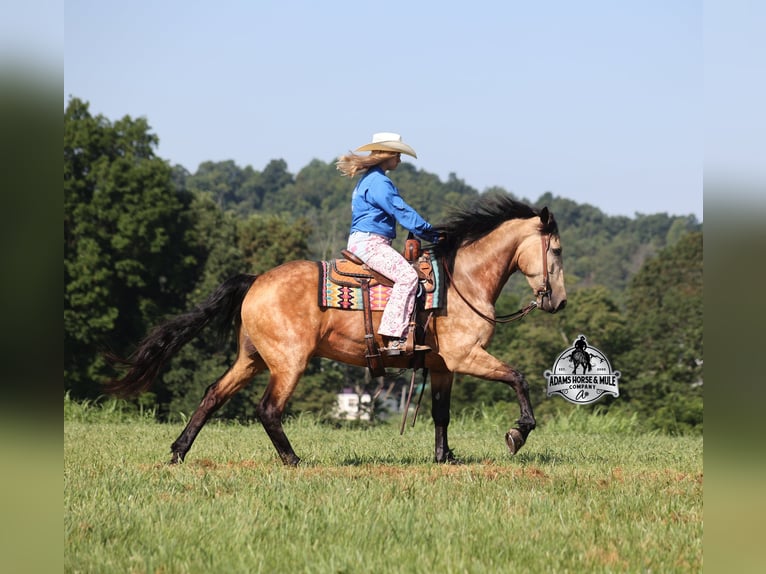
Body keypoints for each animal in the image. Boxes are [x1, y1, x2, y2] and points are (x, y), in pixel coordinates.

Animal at [106, 195, 567, 465]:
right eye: (557, 250)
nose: (559, 302)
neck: (459, 282)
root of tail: (255, 280)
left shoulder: (441, 366)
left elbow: (441, 413)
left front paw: (444, 458)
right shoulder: (466, 357)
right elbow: (518, 378)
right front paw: (517, 433)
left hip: (252, 359)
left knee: (213, 394)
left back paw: (178, 452)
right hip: (288, 363)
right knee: (267, 409)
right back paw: (293, 460)